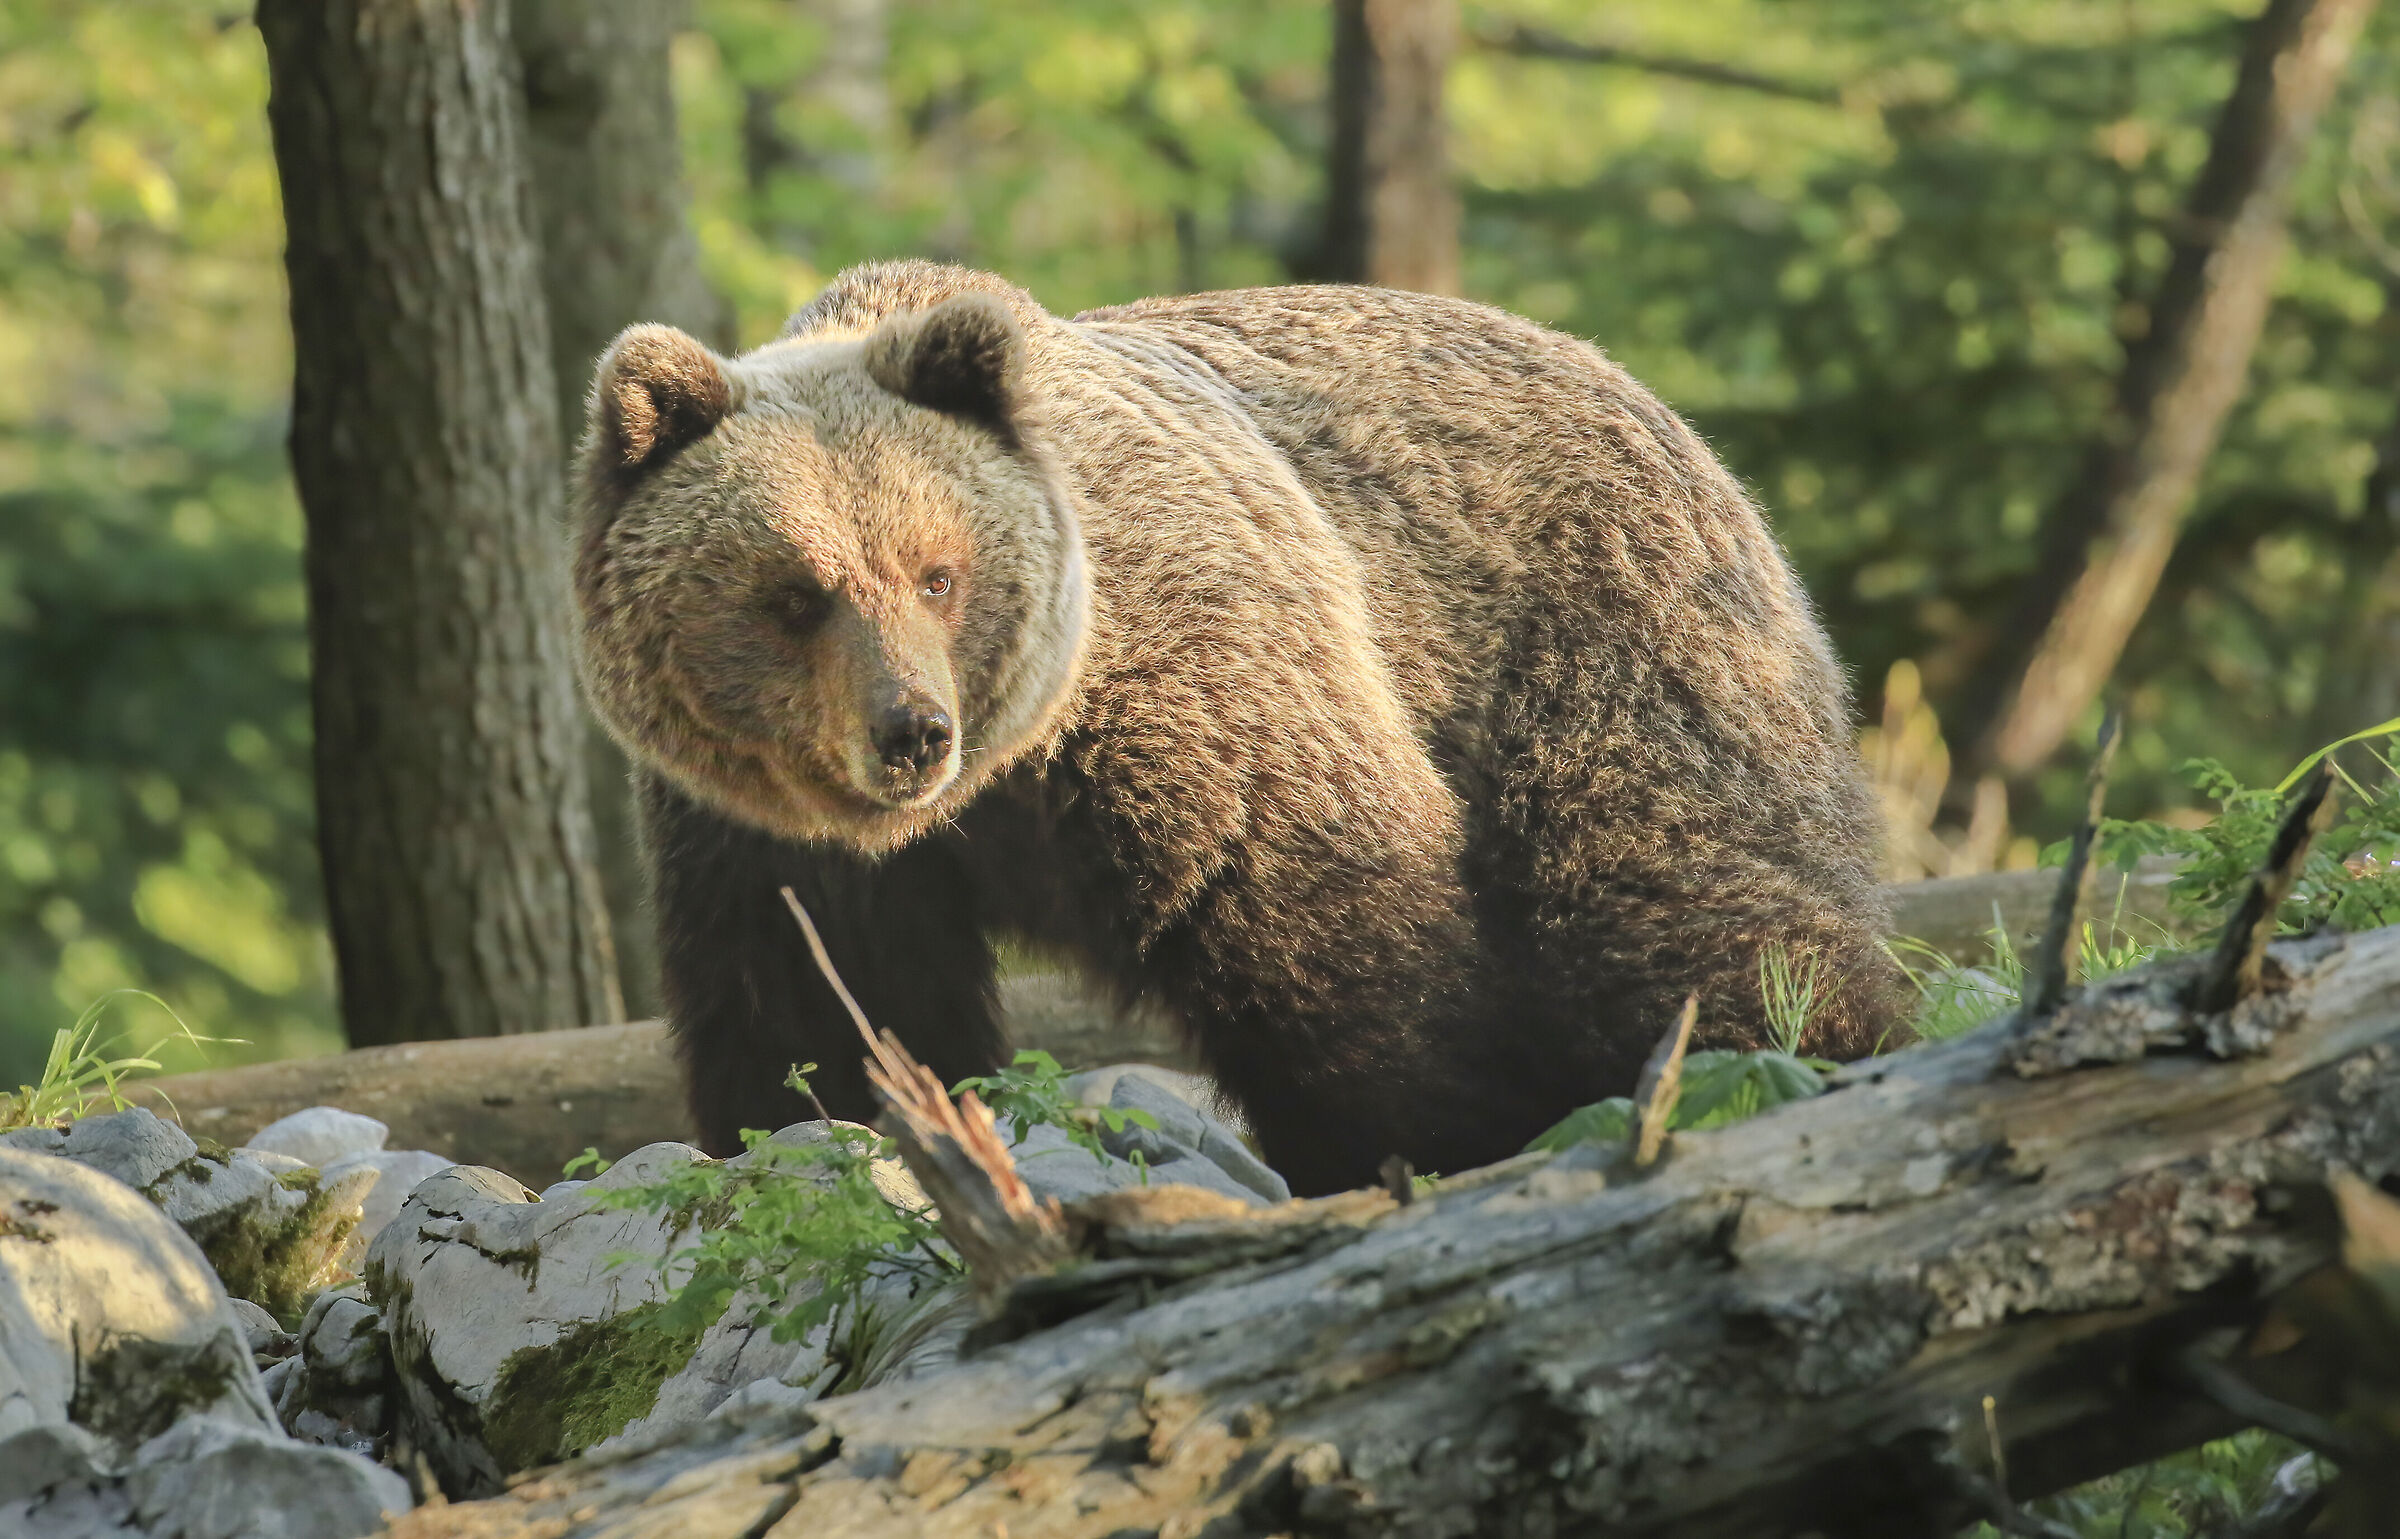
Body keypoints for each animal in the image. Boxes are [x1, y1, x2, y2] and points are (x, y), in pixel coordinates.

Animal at [573, 260, 1905, 1197]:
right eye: (797, 593)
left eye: (937, 572)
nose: (913, 732)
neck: (1011, 766)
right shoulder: (765, 834)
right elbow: (819, 1011)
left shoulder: (1197, 689)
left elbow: (1333, 925)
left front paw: (1429, 1137)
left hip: (1605, 638)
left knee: (1683, 892)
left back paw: (1811, 1048)